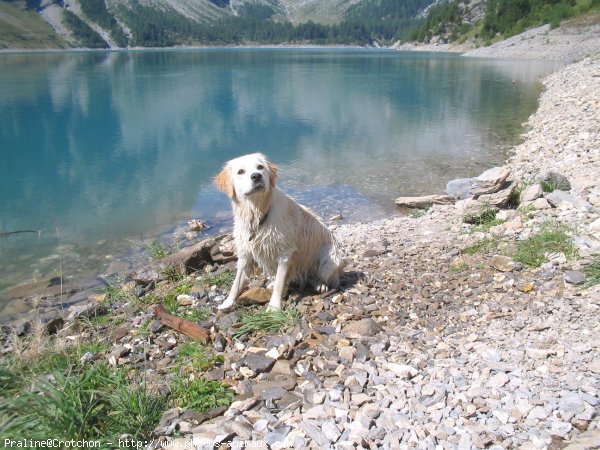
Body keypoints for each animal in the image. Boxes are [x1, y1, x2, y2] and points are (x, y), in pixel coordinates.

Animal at [214, 153, 344, 312]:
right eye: (240, 171)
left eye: (260, 167)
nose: (256, 176)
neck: (257, 212)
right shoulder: (245, 253)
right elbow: (236, 284)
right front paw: (227, 303)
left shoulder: (284, 254)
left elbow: (279, 284)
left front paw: (274, 307)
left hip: (330, 259)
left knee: (321, 276)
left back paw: (321, 284)